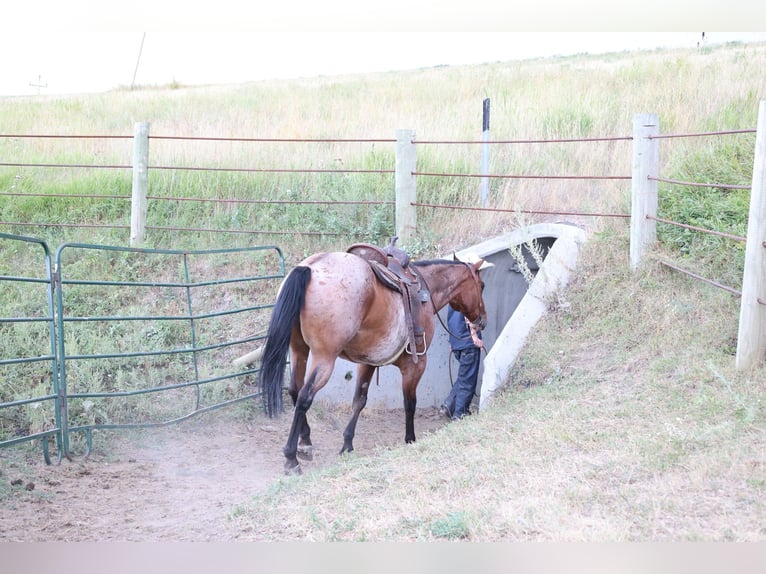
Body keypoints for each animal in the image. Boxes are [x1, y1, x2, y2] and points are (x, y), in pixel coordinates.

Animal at [258, 248, 490, 474]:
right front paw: (410, 439)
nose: (482, 321)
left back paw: (305, 443)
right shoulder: (415, 365)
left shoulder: (367, 362)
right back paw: (291, 458)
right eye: (482, 285)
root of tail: (310, 268)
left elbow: (359, 400)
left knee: (294, 390)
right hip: (324, 357)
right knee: (305, 396)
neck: (426, 290)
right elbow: (409, 403)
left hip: (299, 350)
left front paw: (347, 445)